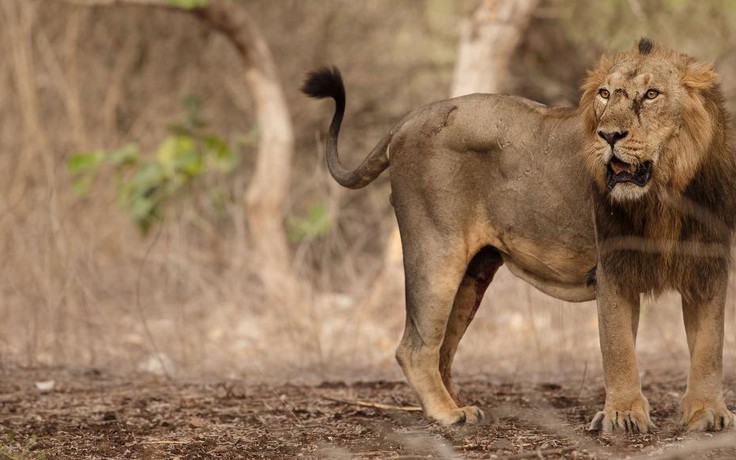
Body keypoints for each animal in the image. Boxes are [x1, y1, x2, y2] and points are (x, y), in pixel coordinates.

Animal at [300, 38, 736, 432]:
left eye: (651, 94)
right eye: (605, 94)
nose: (609, 135)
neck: (668, 192)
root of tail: (405, 121)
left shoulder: (709, 270)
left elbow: (709, 347)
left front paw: (707, 414)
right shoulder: (612, 268)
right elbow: (619, 350)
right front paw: (623, 416)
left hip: (473, 276)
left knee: (443, 351)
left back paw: (460, 404)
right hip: (436, 252)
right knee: (414, 347)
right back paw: (447, 414)